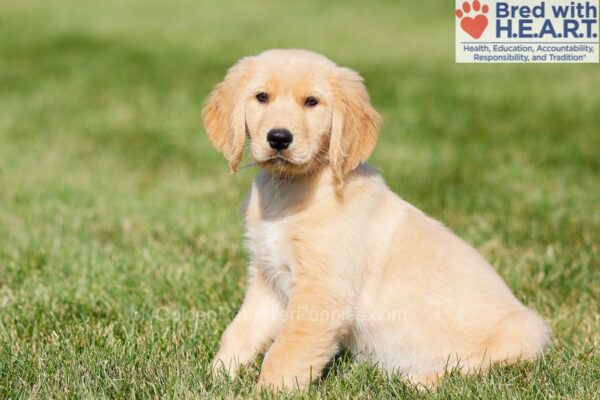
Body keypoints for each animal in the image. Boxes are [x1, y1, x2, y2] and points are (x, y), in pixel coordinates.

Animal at [204, 48, 552, 390]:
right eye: (262, 97)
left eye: (312, 102)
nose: (278, 138)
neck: (289, 189)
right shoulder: (267, 277)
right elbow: (240, 331)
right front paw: (216, 376)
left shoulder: (323, 291)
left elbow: (286, 351)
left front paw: (268, 391)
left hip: (527, 332)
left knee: (470, 368)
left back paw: (419, 379)